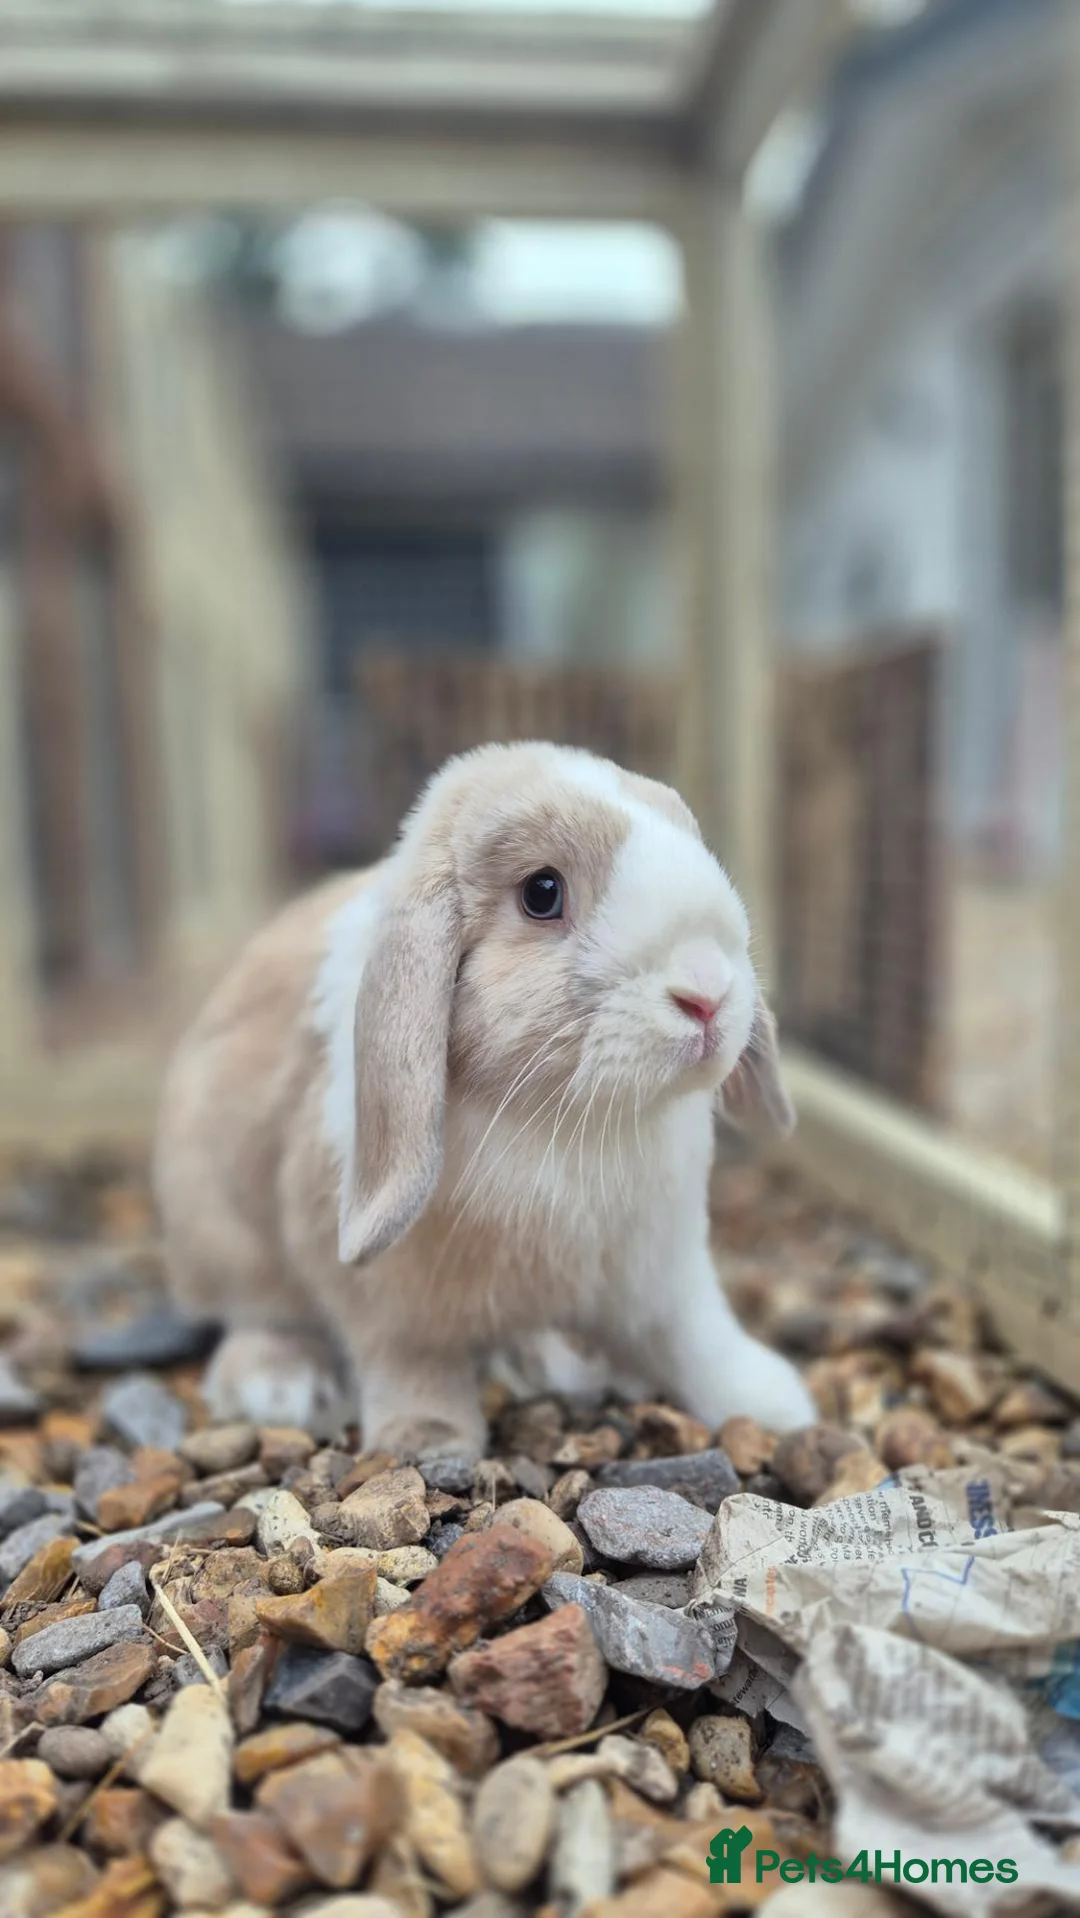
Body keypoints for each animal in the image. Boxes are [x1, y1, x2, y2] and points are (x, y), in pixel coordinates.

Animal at [155, 741, 816, 1459]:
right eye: (542, 893)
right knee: (254, 1312)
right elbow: (410, 1357)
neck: (566, 1120)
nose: (708, 991)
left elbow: (698, 1337)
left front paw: (775, 1403)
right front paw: (428, 1440)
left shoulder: (667, 1270)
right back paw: (279, 1385)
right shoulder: (387, 1299)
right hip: (223, 1236)